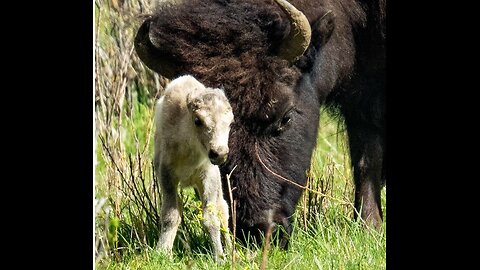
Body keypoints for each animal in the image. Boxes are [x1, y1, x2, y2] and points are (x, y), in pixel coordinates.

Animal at [154, 75, 234, 260]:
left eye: (230, 122)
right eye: (198, 120)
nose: (220, 153)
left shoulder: (208, 176)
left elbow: (211, 218)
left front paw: (219, 257)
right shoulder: (166, 174)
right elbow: (170, 214)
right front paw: (162, 252)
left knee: (223, 210)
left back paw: (232, 251)